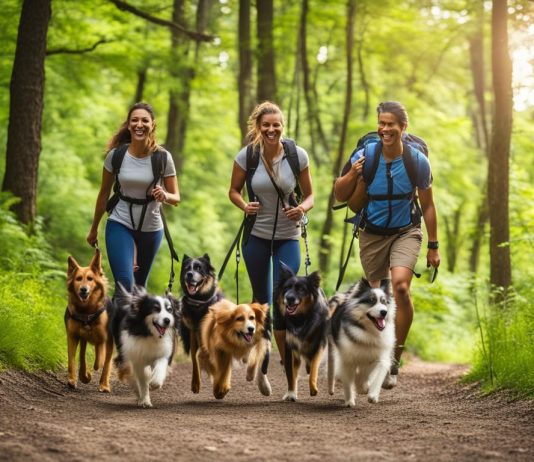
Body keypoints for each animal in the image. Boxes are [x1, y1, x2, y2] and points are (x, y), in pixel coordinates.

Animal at [65, 247, 114, 392]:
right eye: (78, 279)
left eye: (90, 279)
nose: (83, 289)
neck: (86, 311)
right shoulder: (73, 335)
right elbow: (73, 359)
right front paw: (74, 379)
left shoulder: (103, 338)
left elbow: (100, 360)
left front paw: (93, 371)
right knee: (83, 355)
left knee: (106, 362)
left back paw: (104, 385)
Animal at [328, 278, 396, 408]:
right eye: (371, 301)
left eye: (384, 302)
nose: (384, 312)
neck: (368, 332)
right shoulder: (347, 359)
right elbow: (348, 381)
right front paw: (350, 400)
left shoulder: (379, 356)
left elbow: (375, 373)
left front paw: (371, 394)